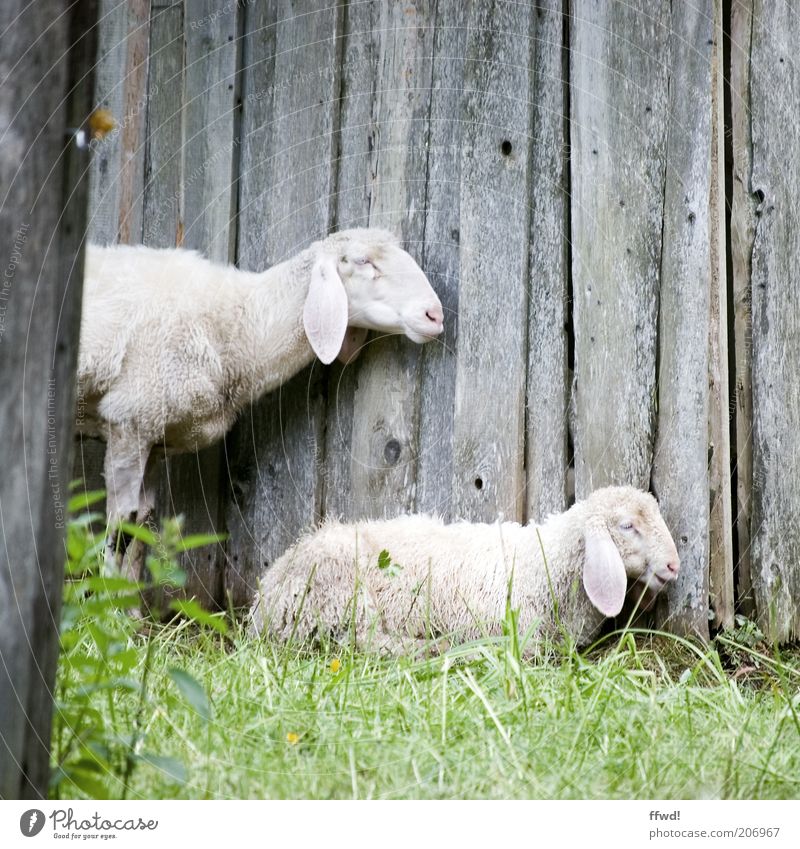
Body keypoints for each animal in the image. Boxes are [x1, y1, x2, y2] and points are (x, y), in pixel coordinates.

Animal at [76, 229, 444, 568]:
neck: (242, 324)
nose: (435, 315)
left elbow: (142, 522)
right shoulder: (130, 420)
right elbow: (120, 528)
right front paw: (108, 594)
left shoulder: (154, 435)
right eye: (363, 261)